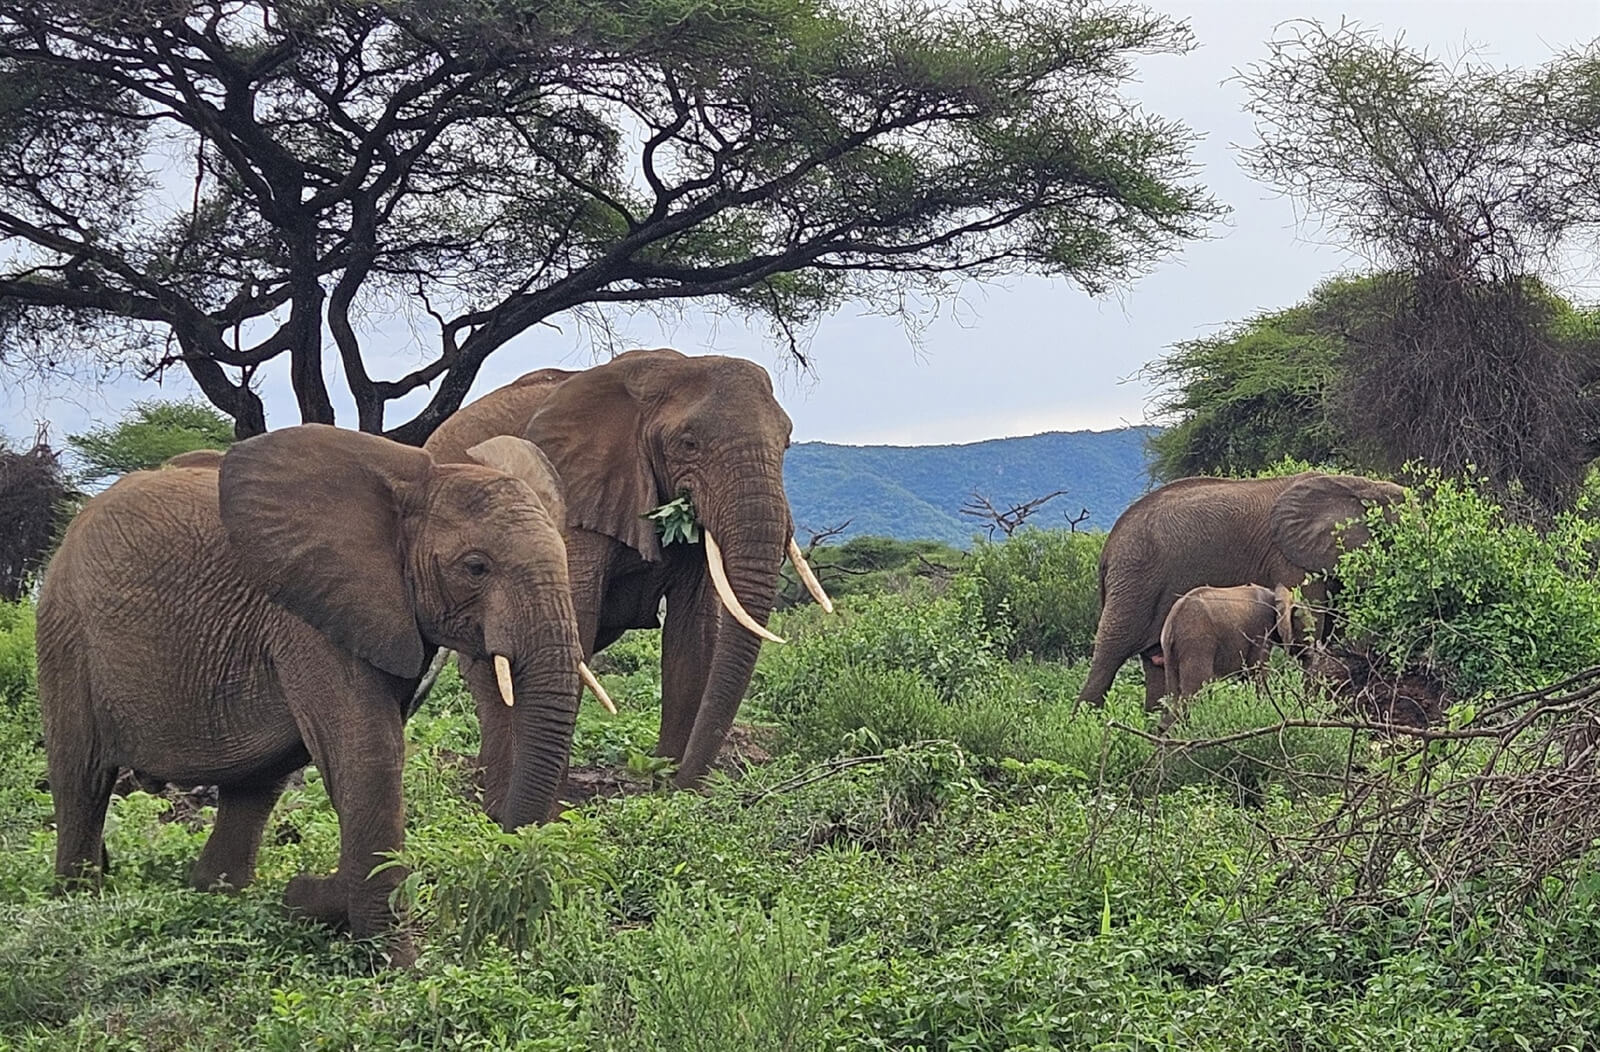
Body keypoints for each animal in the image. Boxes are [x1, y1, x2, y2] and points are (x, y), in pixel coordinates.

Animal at [36, 424, 589, 966]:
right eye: (476, 567)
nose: (505, 846)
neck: (414, 485)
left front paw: (311, 901)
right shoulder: (308, 615)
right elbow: (368, 754)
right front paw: (394, 967)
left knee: (255, 786)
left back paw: (217, 896)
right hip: (66, 631)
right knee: (82, 779)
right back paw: (76, 904)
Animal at [423, 348, 833, 801]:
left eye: (786, 443)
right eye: (688, 444)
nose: (686, 783)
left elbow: (693, 634)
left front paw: (671, 792)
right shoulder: (577, 491)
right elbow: (578, 620)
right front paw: (558, 806)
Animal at [1078, 471, 1405, 712]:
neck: (1357, 484)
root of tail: (1107, 549)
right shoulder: (1288, 557)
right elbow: (1311, 625)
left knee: (1155, 670)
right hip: (1135, 578)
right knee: (1109, 656)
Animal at [1155, 583, 1305, 732]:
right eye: (1305, 630)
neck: (1275, 594)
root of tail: (1173, 618)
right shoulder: (1261, 631)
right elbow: (1257, 672)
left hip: (1170, 650)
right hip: (1197, 642)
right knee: (1196, 689)